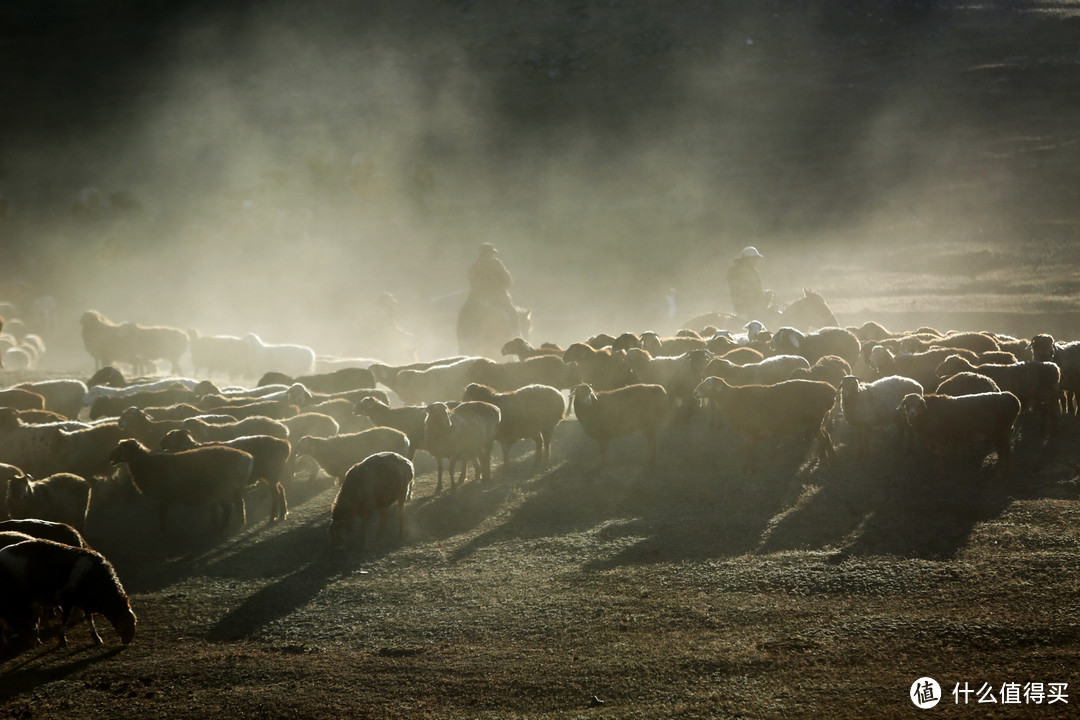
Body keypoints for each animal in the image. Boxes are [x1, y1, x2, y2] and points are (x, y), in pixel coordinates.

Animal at [0, 539, 137, 647]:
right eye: (124, 624)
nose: (127, 641)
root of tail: (2, 551)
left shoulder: (84, 601)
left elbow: (89, 618)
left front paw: (96, 637)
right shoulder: (68, 601)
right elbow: (66, 620)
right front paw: (62, 640)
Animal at [108, 436, 255, 537]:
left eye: (120, 448)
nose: (109, 457)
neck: (147, 464)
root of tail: (247, 458)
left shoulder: (163, 496)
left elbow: (162, 514)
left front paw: (162, 532)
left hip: (225, 488)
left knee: (233, 505)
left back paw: (229, 527)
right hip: (227, 489)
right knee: (235, 504)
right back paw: (235, 525)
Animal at [157, 427, 289, 524]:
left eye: (169, 436)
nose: (160, 443)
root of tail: (284, 443)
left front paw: (216, 520)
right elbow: (213, 503)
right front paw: (215, 519)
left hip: (270, 472)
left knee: (276, 493)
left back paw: (273, 517)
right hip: (271, 475)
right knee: (281, 489)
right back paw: (282, 514)